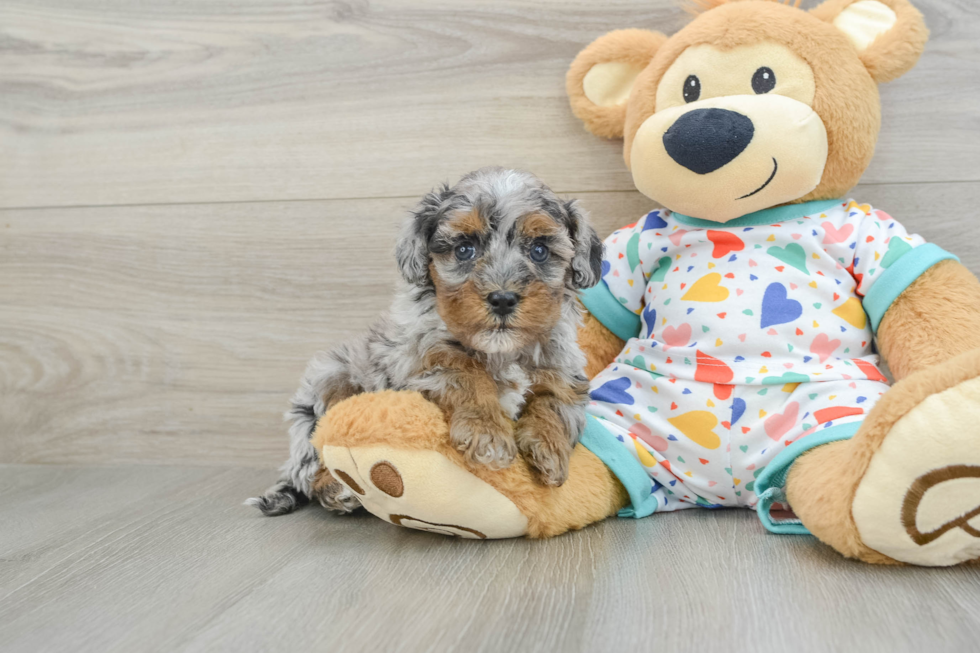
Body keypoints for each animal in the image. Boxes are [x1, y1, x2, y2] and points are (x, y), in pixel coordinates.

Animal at [249, 167, 600, 516]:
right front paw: (487, 433)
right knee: (312, 466)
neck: (502, 350)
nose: (502, 299)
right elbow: (468, 375)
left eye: (539, 250)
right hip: (326, 387)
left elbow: (553, 403)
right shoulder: (421, 360)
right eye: (464, 249)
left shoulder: (564, 370)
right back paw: (337, 490)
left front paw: (550, 451)